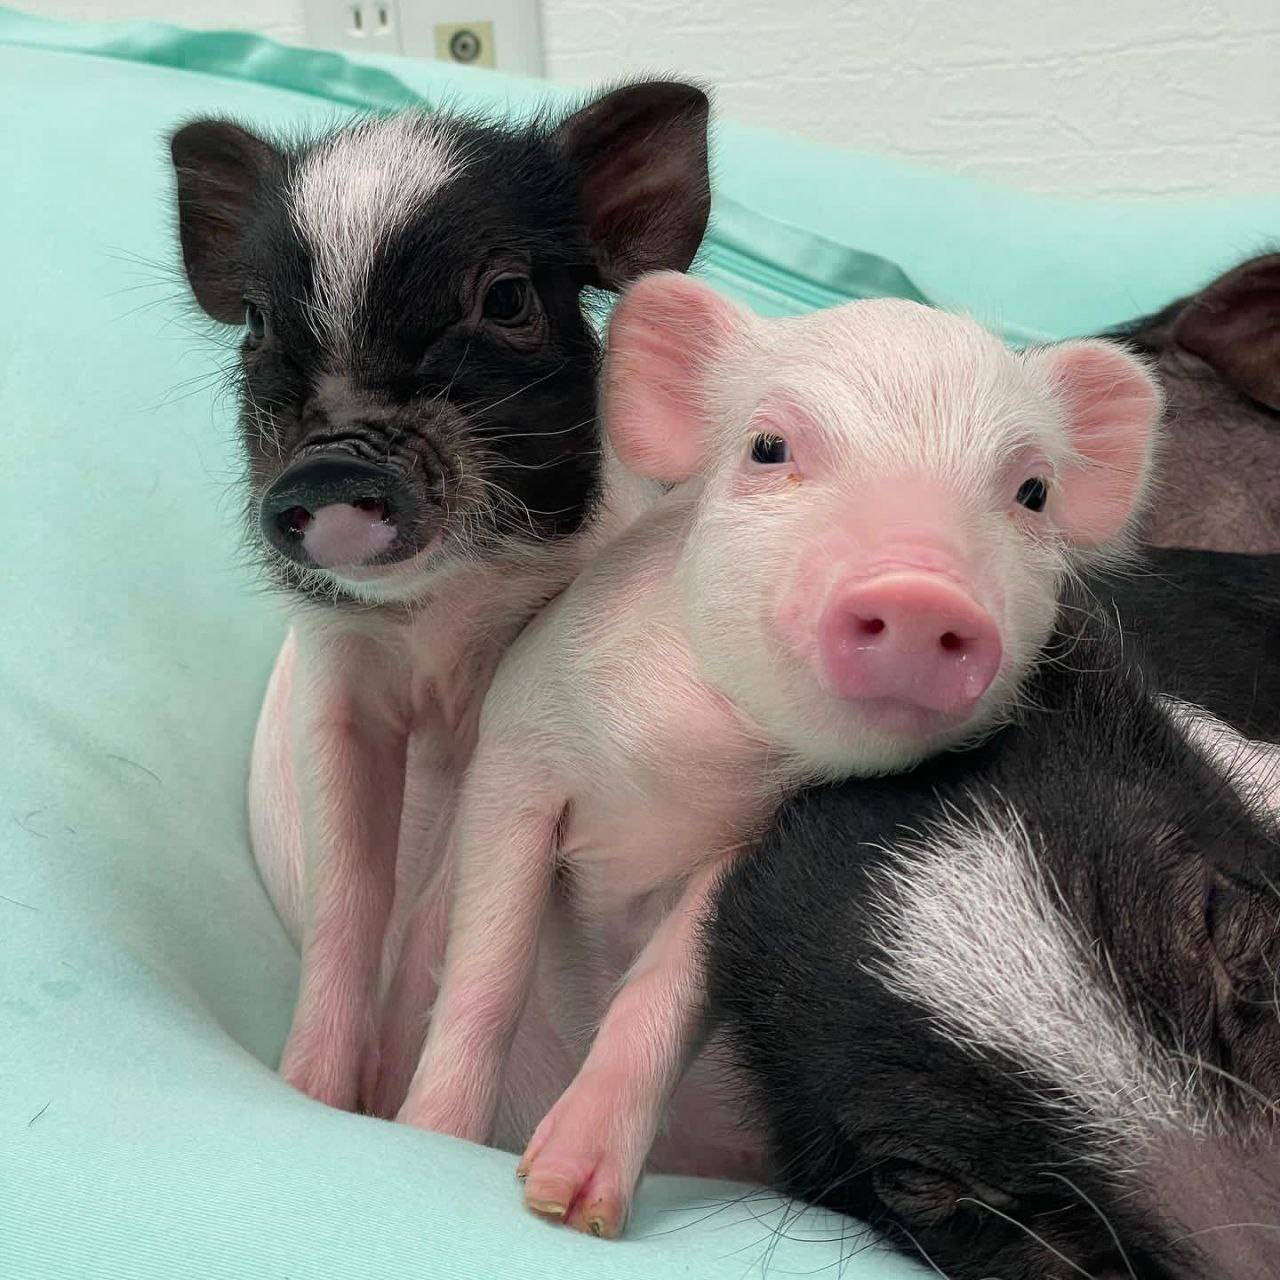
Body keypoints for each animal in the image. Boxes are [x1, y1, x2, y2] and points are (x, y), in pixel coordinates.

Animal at [167, 83, 711, 1112]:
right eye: (255, 323)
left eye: (505, 298)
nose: (334, 461)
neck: (431, 621)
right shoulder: (336, 675)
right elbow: (348, 890)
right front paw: (314, 1097)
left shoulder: (510, 695)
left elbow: (438, 904)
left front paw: (383, 1105)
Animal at [384, 273, 1164, 1238]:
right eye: (769, 446)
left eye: (1032, 492)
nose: (919, 590)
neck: (693, 763)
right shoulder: (519, 746)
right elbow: (486, 968)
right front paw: (432, 1141)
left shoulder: (756, 854)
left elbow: (668, 990)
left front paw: (572, 1206)